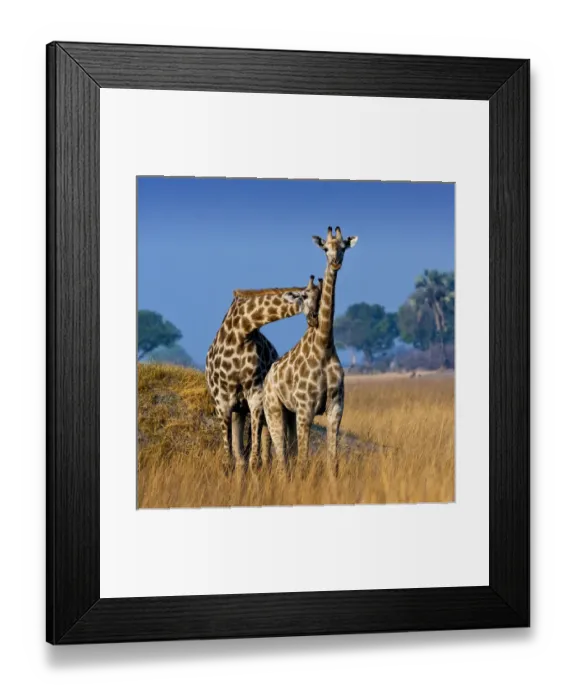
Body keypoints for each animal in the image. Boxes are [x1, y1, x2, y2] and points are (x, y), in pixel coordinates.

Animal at [205, 276, 322, 470]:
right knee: (240, 456)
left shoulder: (256, 396)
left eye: (322, 297)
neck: (241, 331)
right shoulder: (222, 402)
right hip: (239, 411)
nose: (315, 318)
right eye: (304, 296)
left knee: (268, 454)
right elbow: (229, 461)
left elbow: (256, 460)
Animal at [263, 227, 358, 471]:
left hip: (289, 413)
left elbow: (333, 460)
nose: (335, 262)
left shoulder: (336, 406)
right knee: (281, 459)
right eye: (325, 248)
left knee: (288, 455)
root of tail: (267, 378)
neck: (323, 347)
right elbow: (304, 461)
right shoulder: (306, 409)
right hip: (274, 409)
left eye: (343, 247)